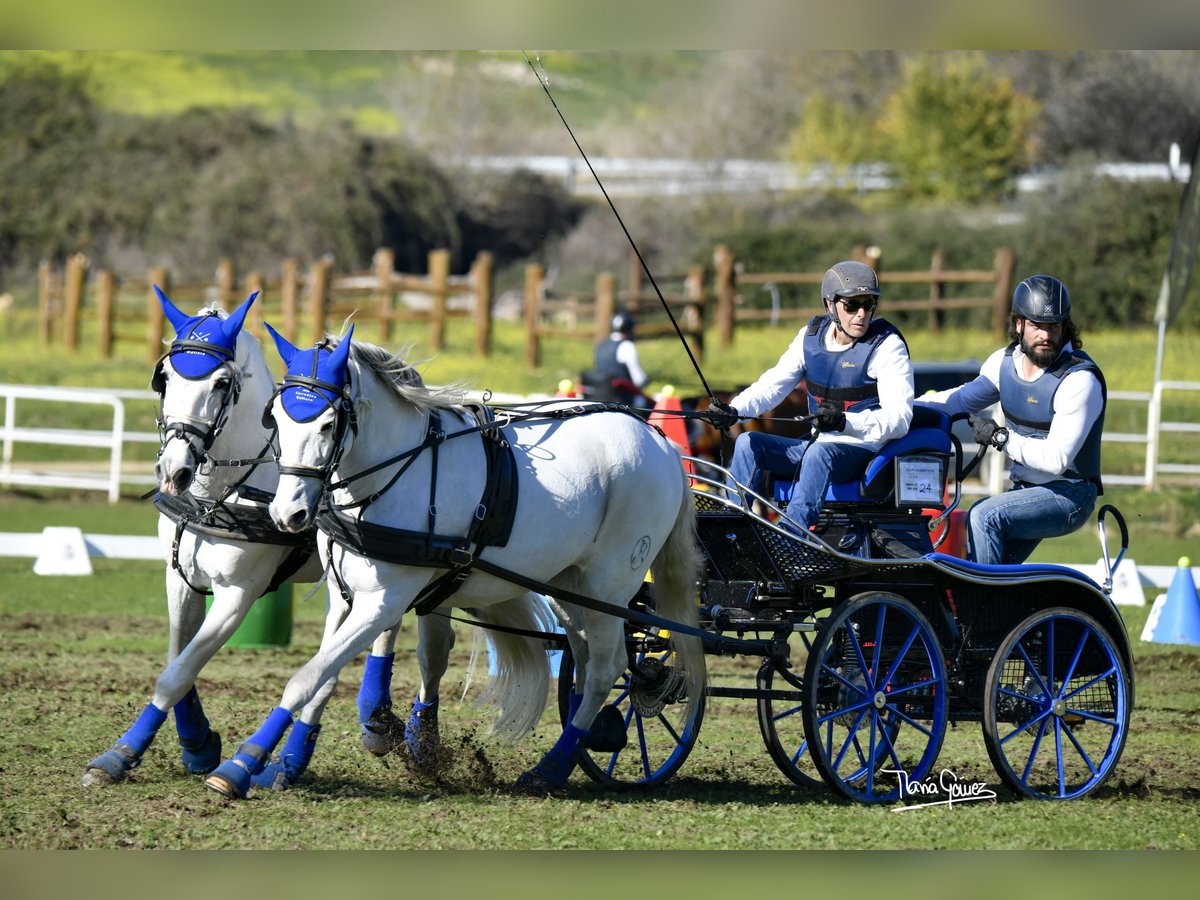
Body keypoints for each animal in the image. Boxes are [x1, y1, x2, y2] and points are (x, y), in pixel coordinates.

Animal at [84, 289, 549, 787]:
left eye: (222, 384)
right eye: (165, 378)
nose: (174, 470)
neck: (223, 491)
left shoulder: (238, 593)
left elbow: (179, 670)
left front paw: (122, 755)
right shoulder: (180, 579)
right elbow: (177, 662)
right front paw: (197, 744)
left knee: (431, 652)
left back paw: (408, 735)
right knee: (393, 631)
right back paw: (378, 720)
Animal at [198, 321, 700, 796]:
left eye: (326, 425)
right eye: (277, 421)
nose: (288, 514)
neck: (391, 475)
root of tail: (659, 441)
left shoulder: (384, 601)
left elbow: (307, 677)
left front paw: (240, 765)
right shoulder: (343, 598)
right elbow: (324, 676)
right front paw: (287, 763)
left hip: (609, 585)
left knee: (606, 668)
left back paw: (550, 768)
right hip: (567, 584)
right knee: (582, 657)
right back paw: (576, 747)